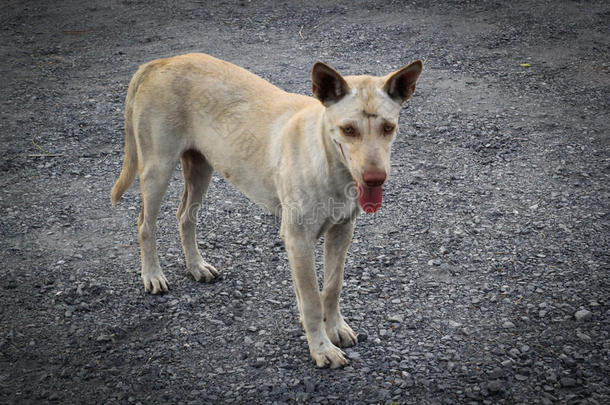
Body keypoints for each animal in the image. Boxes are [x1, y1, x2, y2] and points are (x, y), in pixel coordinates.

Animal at [111, 52, 420, 366]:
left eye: (388, 127)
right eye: (348, 129)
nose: (375, 178)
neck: (327, 161)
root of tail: (162, 61)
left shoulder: (341, 231)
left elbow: (332, 287)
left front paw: (334, 327)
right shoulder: (298, 239)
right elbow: (311, 299)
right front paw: (321, 348)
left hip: (200, 167)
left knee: (185, 216)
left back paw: (196, 266)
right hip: (157, 168)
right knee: (145, 225)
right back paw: (152, 275)